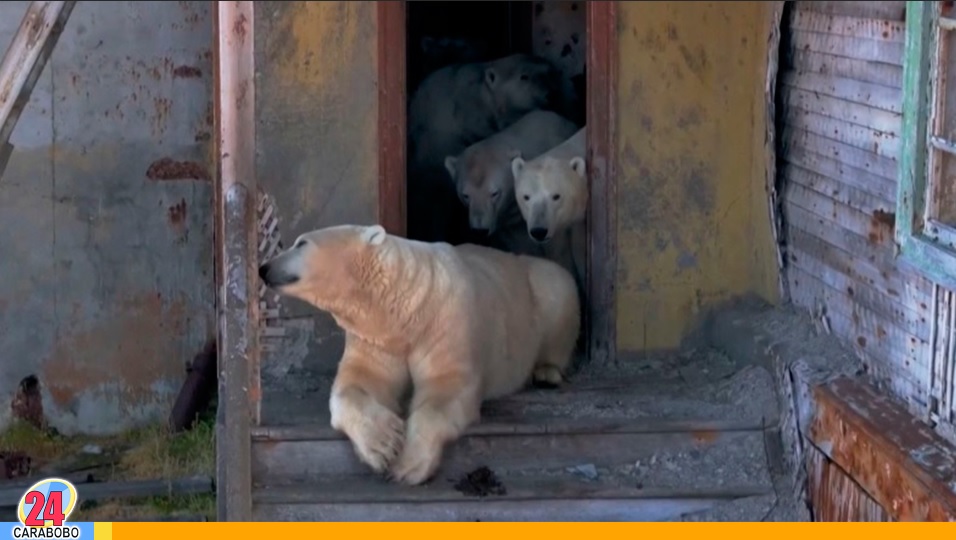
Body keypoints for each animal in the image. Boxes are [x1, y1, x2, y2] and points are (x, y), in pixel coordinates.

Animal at [257, 224, 580, 486]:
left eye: (301, 243)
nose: (263, 267)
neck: (404, 307)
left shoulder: (446, 320)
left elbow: (446, 388)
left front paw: (407, 466)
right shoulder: (376, 336)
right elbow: (360, 381)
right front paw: (382, 444)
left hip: (540, 286)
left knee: (557, 291)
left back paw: (547, 372)